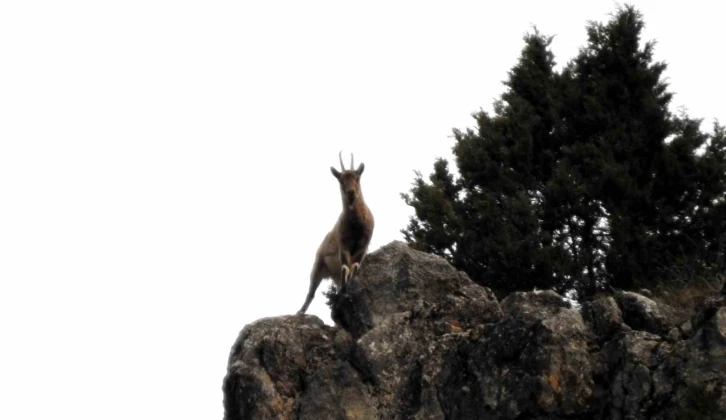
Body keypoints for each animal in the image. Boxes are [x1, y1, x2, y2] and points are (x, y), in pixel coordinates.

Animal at [298, 153, 376, 314]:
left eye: (357, 177)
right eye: (341, 179)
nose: (351, 192)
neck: (356, 225)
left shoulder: (363, 246)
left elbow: (354, 268)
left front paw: (348, 291)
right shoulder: (343, 245)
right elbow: (345, 267)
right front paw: (345, 293)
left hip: (332, 274)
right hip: (318, 265)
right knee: (311, 292)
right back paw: (300, 312)